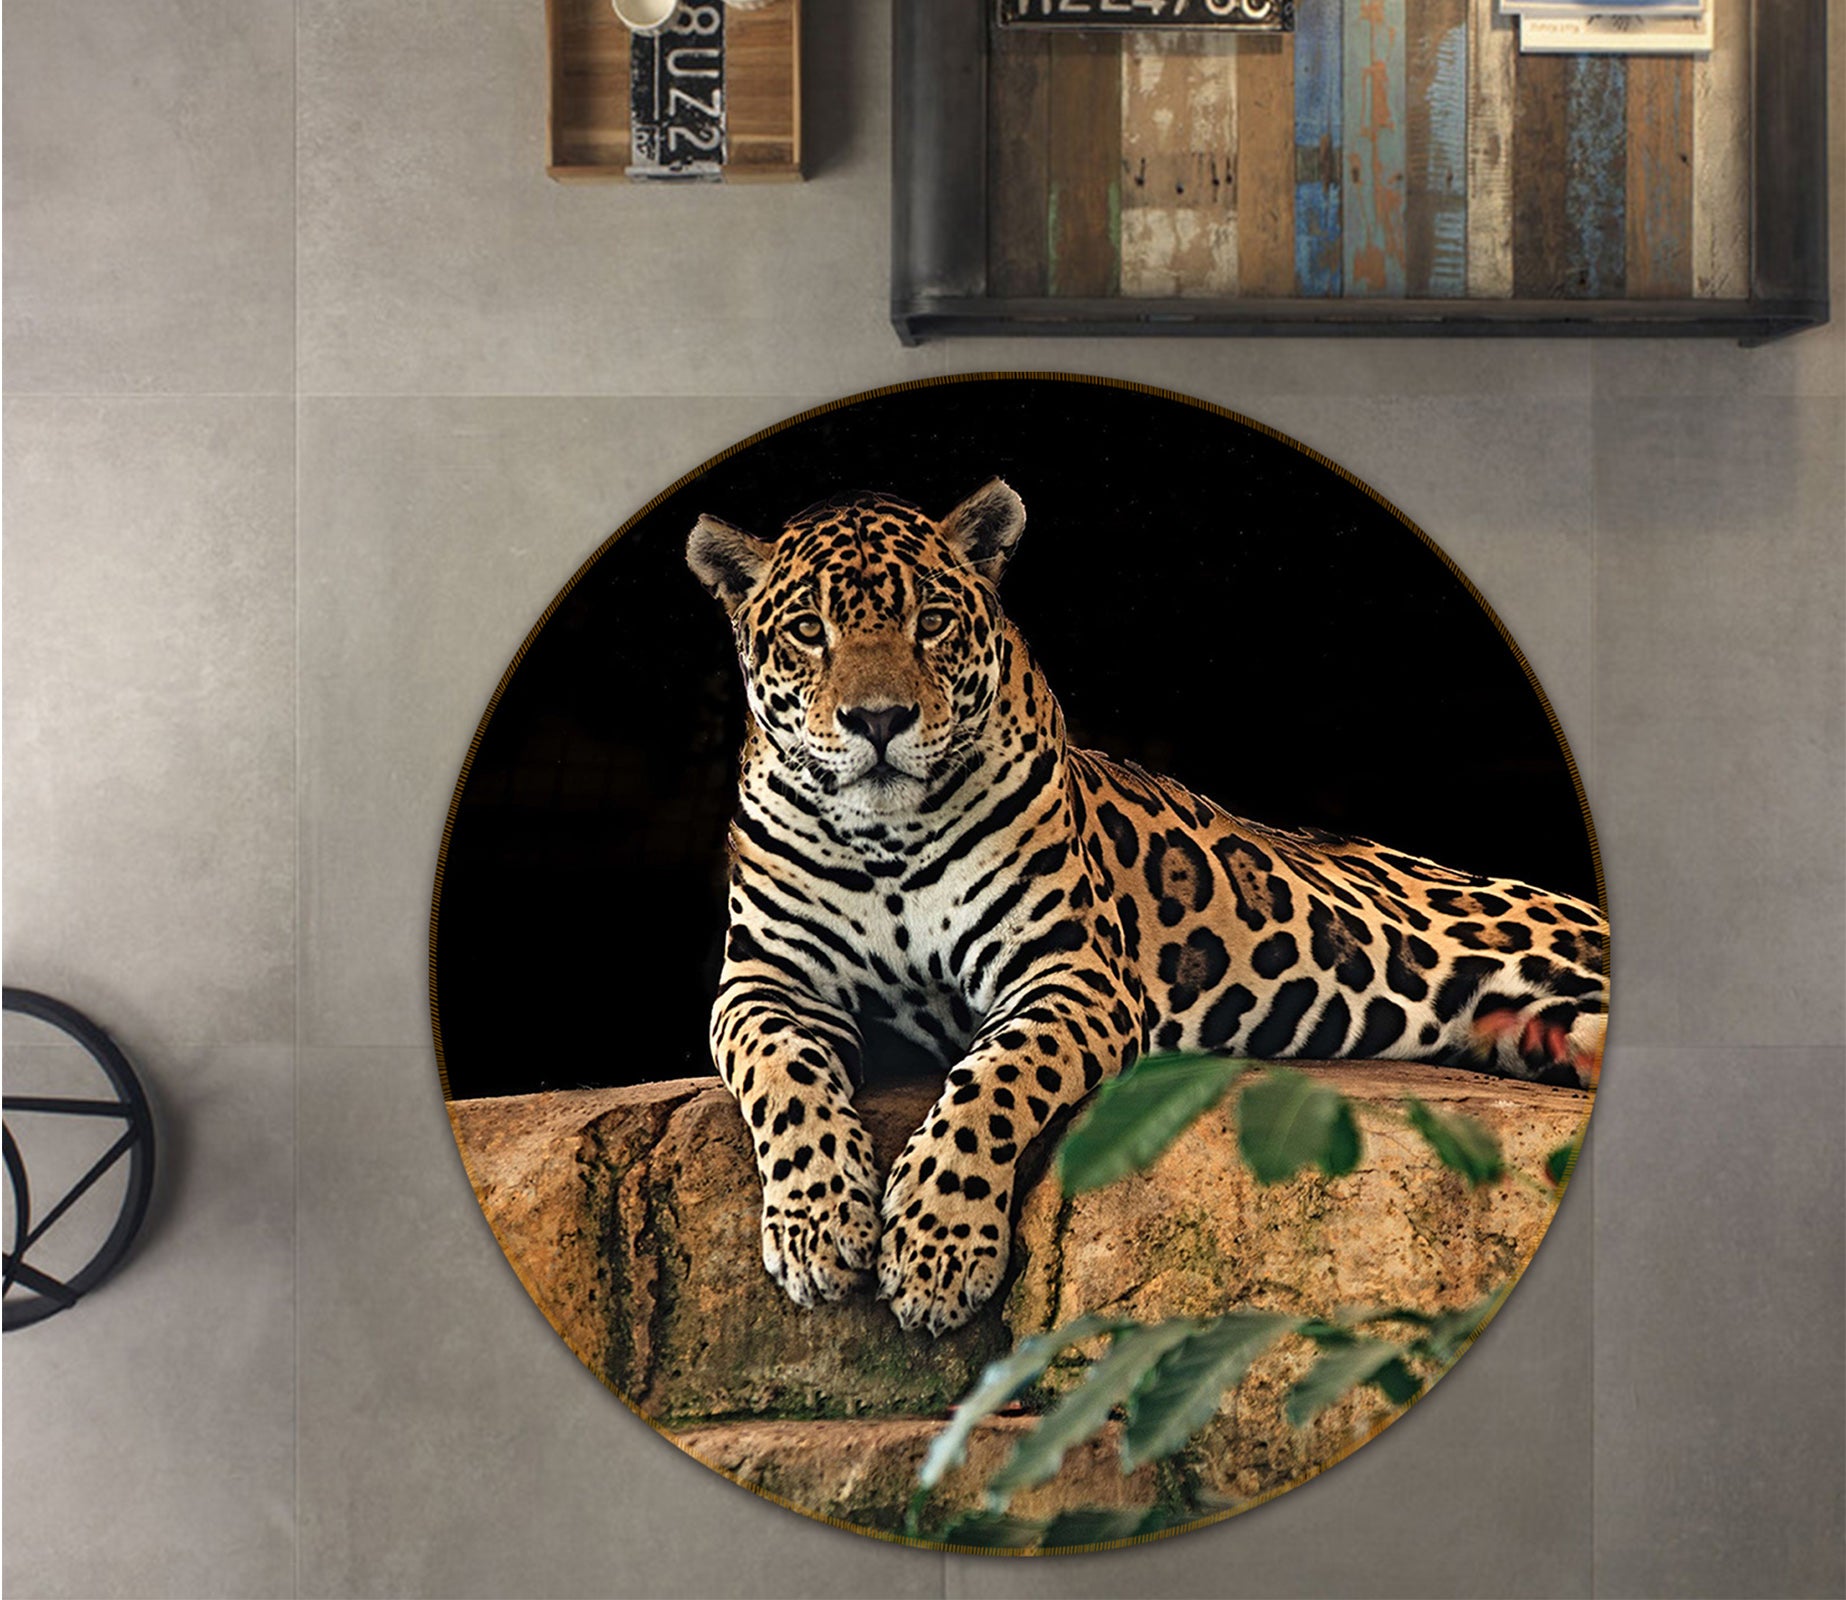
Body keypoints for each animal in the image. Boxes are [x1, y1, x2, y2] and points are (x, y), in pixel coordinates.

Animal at [686, 479, 1607, 1337]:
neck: (886, 838)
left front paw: (936, 1248)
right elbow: (784, 1074)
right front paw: (817, 1229)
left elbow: (992, 1083)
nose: (879, 719)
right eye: (811, 631)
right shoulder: (765, 982)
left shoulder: (1069, 974)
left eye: (934, 622)